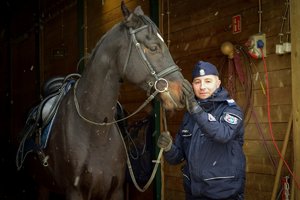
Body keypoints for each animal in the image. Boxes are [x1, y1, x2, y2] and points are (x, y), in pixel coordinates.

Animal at [17, 1, 185, 200]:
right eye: (153, 48)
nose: (184, 90)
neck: (95, 131)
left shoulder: (116, 190)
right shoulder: (74, 192)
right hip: (41, 185)